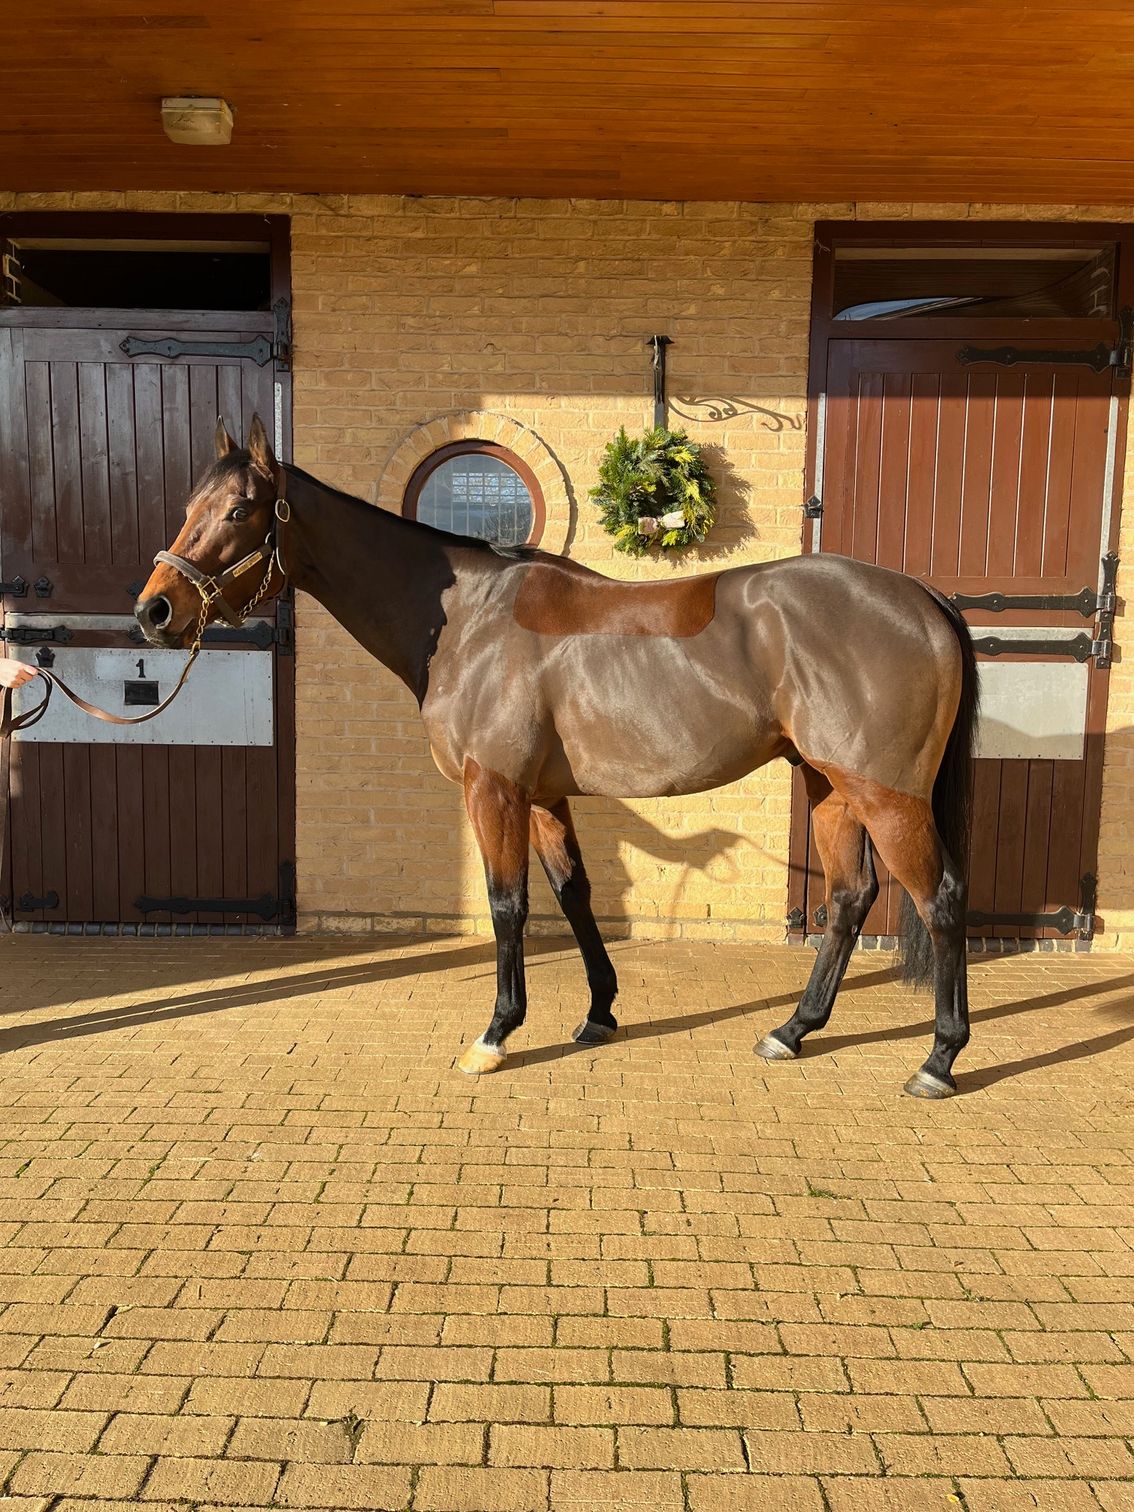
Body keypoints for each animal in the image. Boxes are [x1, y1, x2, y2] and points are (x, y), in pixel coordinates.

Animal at [136, 415, 979, 1099]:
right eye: (186, 510)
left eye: (239, 511)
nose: (154, 611)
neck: (467, 621)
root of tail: (923, 598)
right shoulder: (542, 795)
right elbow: (573, 896)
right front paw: (599, 1013)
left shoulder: (493, 789)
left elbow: (508, 905)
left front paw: (494, 1036)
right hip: (831, 783)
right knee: (849, 896)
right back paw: (793, 1029)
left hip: (888, 795)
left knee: (938, 900)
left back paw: (938, 1060)